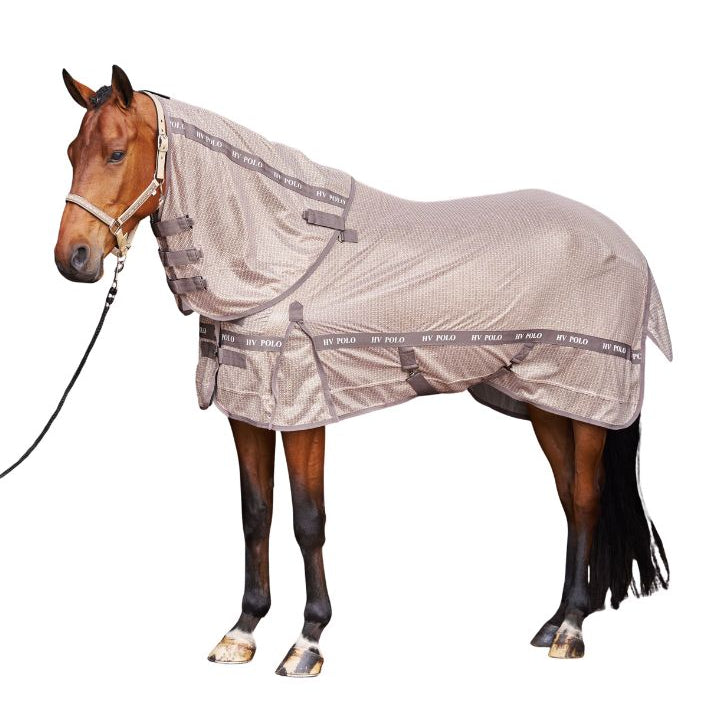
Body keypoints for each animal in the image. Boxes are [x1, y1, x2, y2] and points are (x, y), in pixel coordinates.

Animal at [54, 65, 670, 676]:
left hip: (586, 401)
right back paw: (554, 621)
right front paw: (243, 630)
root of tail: (627, 246)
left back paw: (571, 629)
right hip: (547, 402)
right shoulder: (247, 408)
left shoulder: (302, 411)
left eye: (115, 153)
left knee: (585, 501)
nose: (73, 259)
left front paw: (308, 641)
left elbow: (308, 520)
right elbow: (256, 513)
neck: (283, 260)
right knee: (570, 500)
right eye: (70, 152)